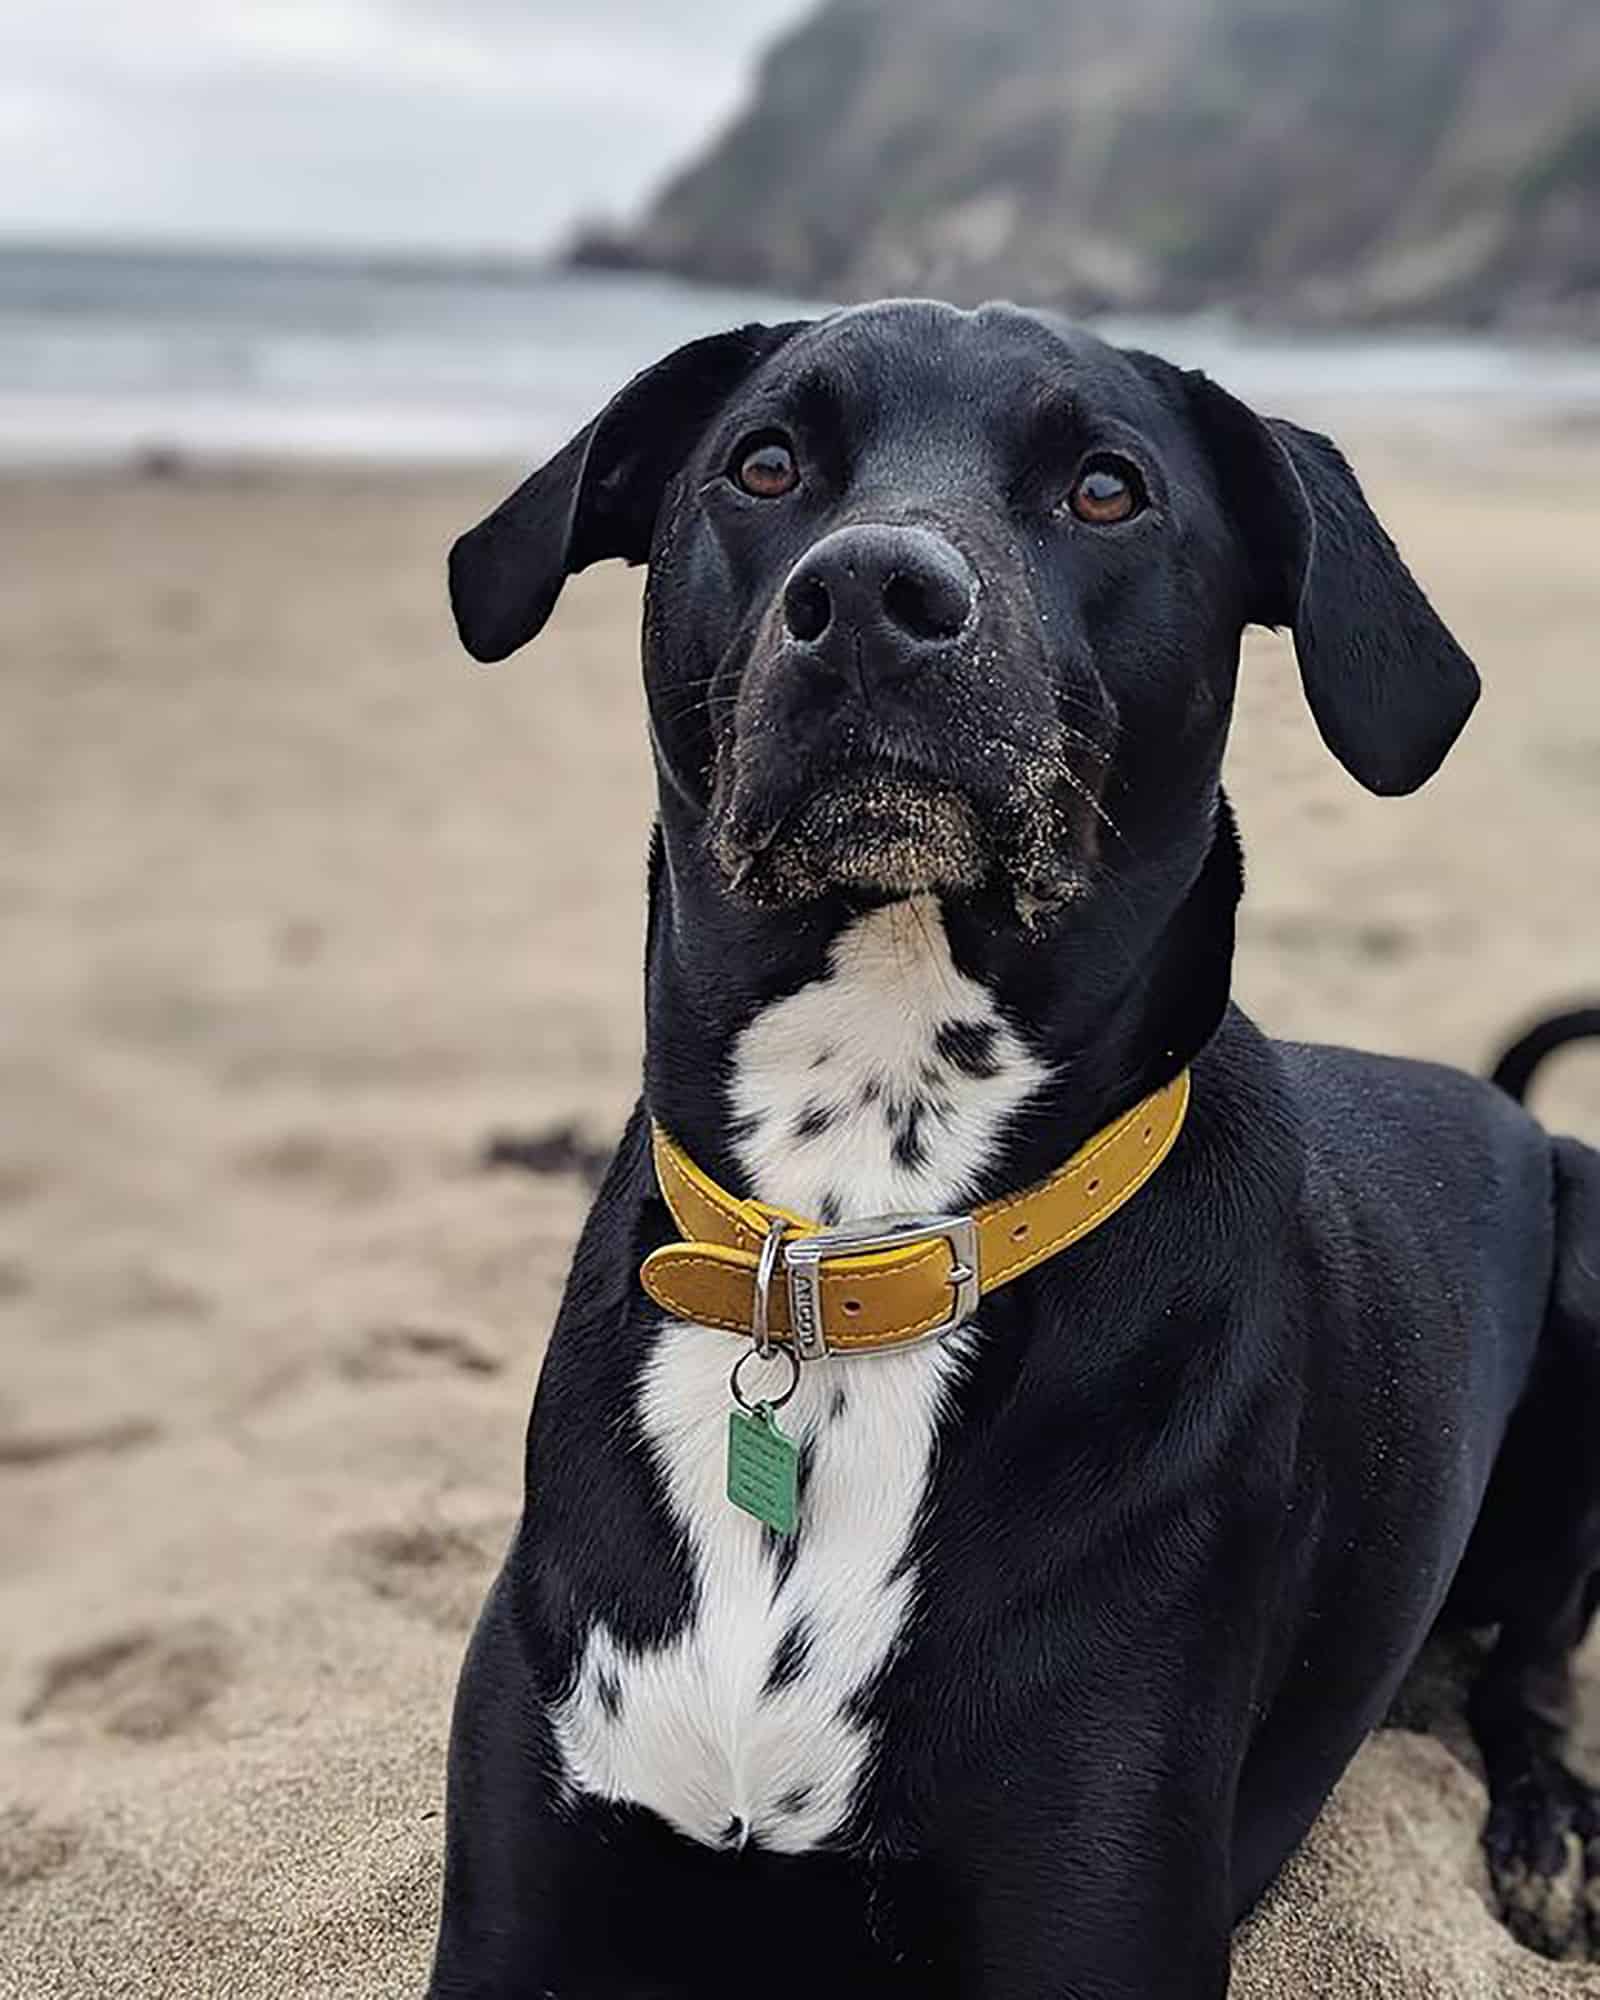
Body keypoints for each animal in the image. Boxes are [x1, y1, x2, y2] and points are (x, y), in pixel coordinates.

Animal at [424, 304, 1600, 1992]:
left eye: (1107, 487)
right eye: (762, 462)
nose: (869, 597)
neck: (850, 1239)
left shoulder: (1089, 1905)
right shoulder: (520, 1900)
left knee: (1537, 1668)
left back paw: (1547, 1827)